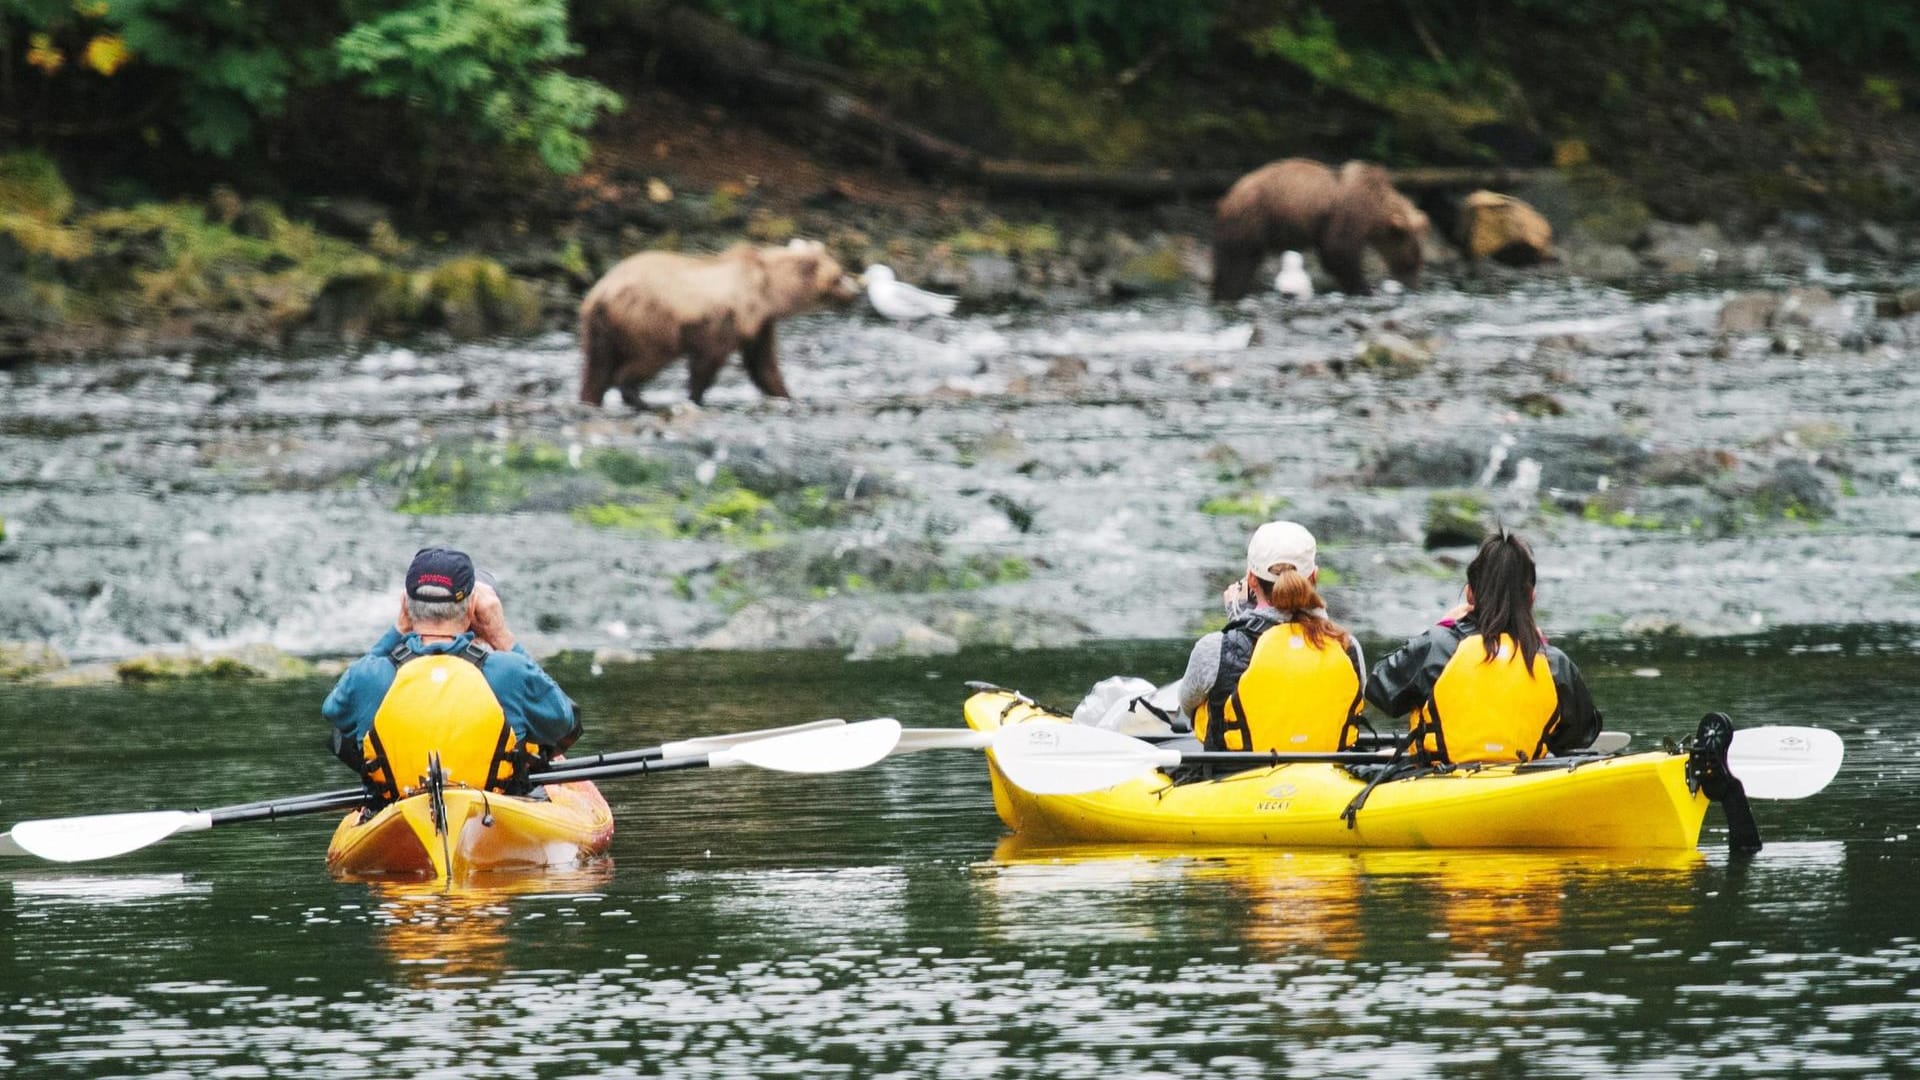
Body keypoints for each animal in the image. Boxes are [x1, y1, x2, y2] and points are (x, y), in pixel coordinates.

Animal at [572, 237, 860, 405]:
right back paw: (635, 395)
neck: (768, 292)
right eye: (838, 276)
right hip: (646, 319)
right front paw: (696, 396)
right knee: (648, 357)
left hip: (597, 329)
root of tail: (599, 294)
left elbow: (763, 364)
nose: (856, 291)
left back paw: (591, 399)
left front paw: (785, 394)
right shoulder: (726, 321)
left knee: (595, 369)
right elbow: (708, 361)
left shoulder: (759, 324)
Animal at [1213, 157, 1428, 297]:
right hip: (1253, 221)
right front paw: (1363, 287)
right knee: (1238, 262)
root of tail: (1226, 198)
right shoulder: (1347, 214)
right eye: (1411, 261)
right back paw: (1230, 291)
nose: (1414, 285)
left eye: (1419, 261)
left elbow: (1331, 253)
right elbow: (1340, 251)